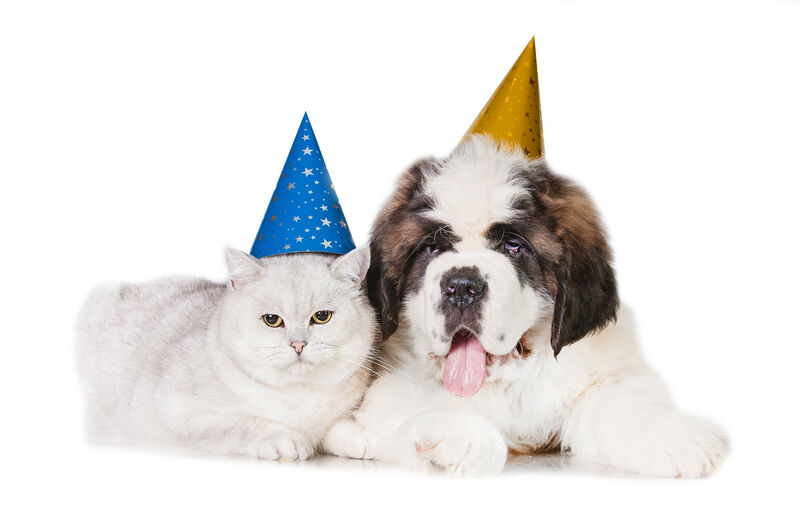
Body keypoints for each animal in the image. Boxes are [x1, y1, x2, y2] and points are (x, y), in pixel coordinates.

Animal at [75, 249, 378, 462]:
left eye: (322, 316)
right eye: (272, 320)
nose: (298, 344)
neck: (299, 393)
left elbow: (337, 426)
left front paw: (363, 437)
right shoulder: (179, 412)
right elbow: (242, 425)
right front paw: (284, 439)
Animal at [354, 135, 728, 476]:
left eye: (514, 246)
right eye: (431, 248)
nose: (461, 286)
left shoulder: (604, 371)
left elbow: (622, 405)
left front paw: (676, 437)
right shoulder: (390, 384)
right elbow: (412, 404)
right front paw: (455, 438)